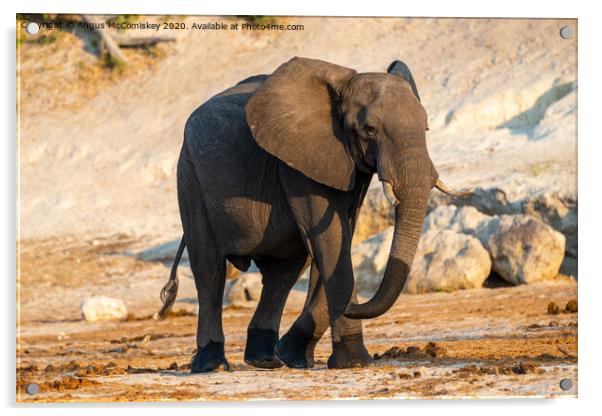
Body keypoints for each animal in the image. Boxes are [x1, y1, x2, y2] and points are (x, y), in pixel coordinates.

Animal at [156, 56, 468, 374]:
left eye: (426, 128)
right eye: (370, 129)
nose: (354, 307)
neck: (345, 85)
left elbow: (338, 239)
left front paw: (295, 355)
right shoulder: (297, 161)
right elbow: (331, 242)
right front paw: (354, 362)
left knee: (283, 273)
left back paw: (266, 359)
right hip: (190, 177)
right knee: (210, 269)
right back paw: (212, 365)